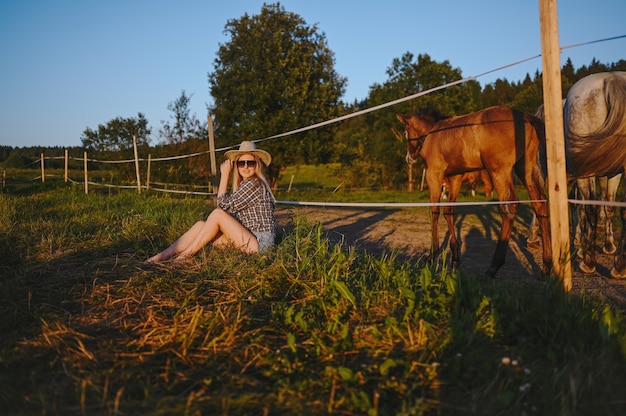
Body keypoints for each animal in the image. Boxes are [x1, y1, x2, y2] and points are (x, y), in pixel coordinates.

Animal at [394, 105, 552, 278]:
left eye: (405, 132)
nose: (409, 158)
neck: (433, 132)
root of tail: (524, 116)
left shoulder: (433, 174)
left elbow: (434, 211)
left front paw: (431, 255)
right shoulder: (456, 177)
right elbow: (449, 211)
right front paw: (455, 258)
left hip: (499, 172)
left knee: (509, 208)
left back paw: (494, 266)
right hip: (525, 169)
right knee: (540, 204)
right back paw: (546, 265)